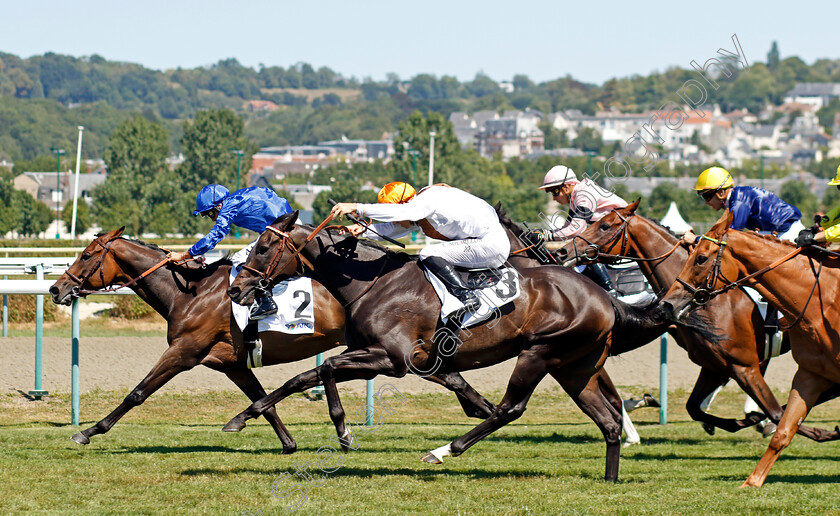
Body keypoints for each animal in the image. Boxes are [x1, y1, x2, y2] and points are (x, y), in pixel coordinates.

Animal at [49, 228, 496, 450]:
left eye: (86, 255)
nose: (56, 289)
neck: (189, 292)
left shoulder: (185, 350)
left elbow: (138, 393)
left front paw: (88, 431)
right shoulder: (231, 363)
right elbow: (263, 401)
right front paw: (287, 442)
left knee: (441, 373)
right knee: (447, 374)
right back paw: (482, 408)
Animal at [223, 212, 676, 482]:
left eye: (263, 247)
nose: (235, 289)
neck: (375, 282)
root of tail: (605, 298)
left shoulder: (391, 359)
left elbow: (322, 369)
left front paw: (341, 431)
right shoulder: (385, 357)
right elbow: (310, 375)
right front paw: (247, 417)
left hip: (540, 353)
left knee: (511, 408)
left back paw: (444, 450)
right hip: (574, 366)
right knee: (607, 419)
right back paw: (610, 477)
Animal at [660, 211, 840, 488]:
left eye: (701, 258)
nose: (667, 304)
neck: (821, 301)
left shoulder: (744, 365)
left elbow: (775, 411)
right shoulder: (810, 373)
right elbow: (783, 428)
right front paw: (752, 482)